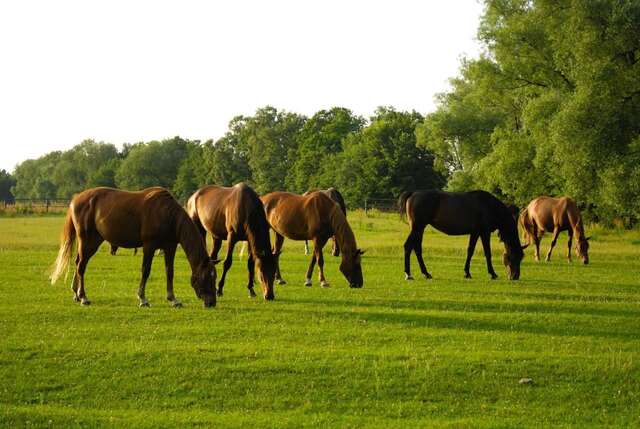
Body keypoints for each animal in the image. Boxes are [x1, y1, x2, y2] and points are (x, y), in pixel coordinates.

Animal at [48, 186, 218, 306]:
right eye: (207, 277)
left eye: (214, 276)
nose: (211, 303)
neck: (167, 214)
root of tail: (76, 200)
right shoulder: (149, 246)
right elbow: (146, 271)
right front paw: (142, 299)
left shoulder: (170, 247)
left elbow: (170, 272)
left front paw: (173, 299)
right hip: (87, 240)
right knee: (81, 266)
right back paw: (83, 297)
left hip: (94, 241)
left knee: (78, 263)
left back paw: (76, 294)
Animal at [398, 191, 528, 280]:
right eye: (515, 257)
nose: (515, 276)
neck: (490, 206)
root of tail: (413, 194)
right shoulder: (484, 232)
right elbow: (487, 253)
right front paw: (492, 273)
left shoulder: (475, 232)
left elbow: (470, 251)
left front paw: (467, 272)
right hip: (417, 227)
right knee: (408, 246)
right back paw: (408, 274)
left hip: (419, 229)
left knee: (417, 248)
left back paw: (425, 273)